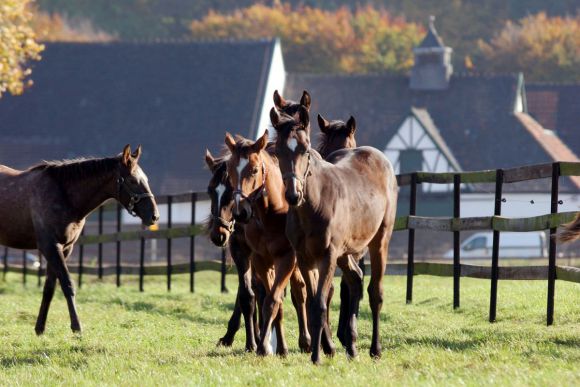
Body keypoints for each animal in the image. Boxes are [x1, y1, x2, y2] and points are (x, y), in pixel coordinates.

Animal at [0, 146, 159, 334]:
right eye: (133, 180)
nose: (154, 216)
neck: (64, 195)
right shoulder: (50, 247)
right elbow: (67, 284)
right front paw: (77, 328)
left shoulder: (65, 248)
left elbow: (49, 288)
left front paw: (40, 329)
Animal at [270, 107, 396, 366]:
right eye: (277, 150)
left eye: (305, 149)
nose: (293, 195)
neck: (316, 202)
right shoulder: (305, 258)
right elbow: (312, 302)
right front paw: (324, 348)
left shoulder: (327, 256)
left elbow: (320, 303)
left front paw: (317, 356)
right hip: (346, 252)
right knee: (356, 279)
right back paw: (352, 348)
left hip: (379, 241)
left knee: (375, 292)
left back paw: (375, 349)